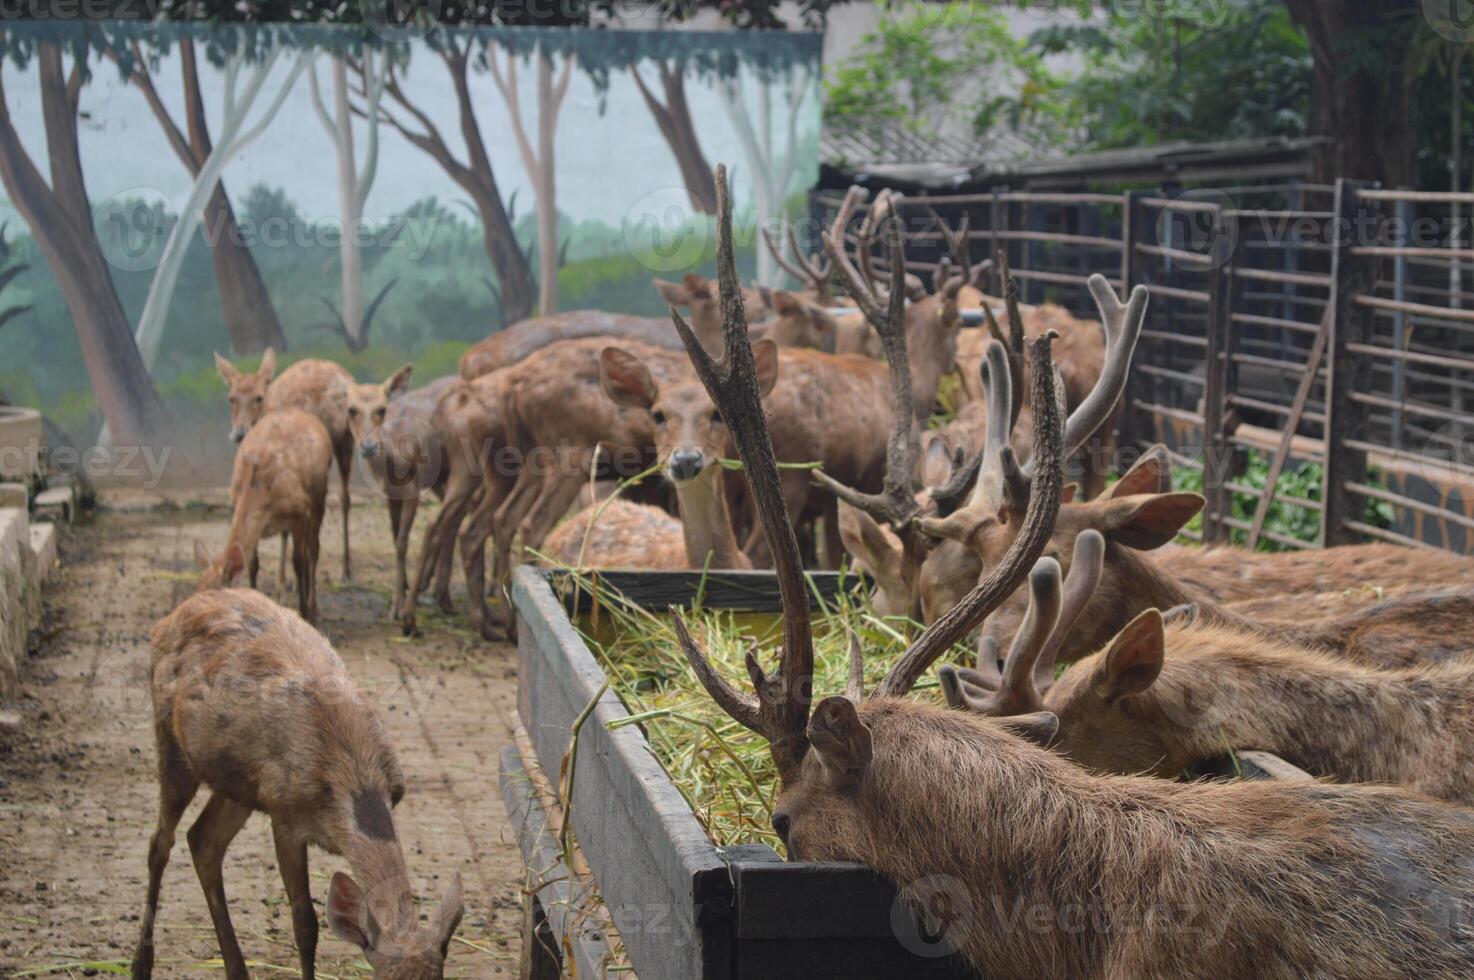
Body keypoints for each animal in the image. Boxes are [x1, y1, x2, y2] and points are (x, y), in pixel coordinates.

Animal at [137, 589, 465, 978]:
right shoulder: (285, 816)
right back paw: (141, 965)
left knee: (203, 839)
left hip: (239, 786)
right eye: (383, 977)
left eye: (440, 976)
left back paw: (237, 969)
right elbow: (305, 923)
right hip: (171, 742)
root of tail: (171, 617)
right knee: (160, 842)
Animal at [194, 409, 333, 621]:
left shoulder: (300, 511)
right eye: (196, 590)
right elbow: (253, 564)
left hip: (319, 495)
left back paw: (314, 607)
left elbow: (299, 561)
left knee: (313, 549)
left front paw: (305, 612)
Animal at [215, 352, 358, 580]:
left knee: (345, 498)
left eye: (258, 397)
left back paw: (347, 569)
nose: (239, 433)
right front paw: (281, 582)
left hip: (346, 439)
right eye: (231, 398)